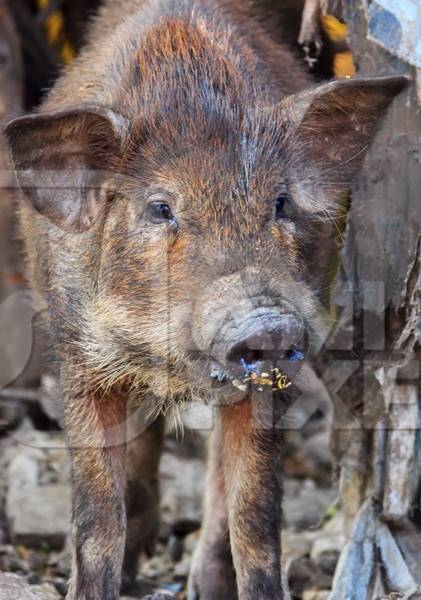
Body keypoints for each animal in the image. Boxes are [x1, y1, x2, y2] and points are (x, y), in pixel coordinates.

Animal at [4, 1, 406, 600]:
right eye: (160, 208)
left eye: (280, 202)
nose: (266, 321)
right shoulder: (79, 358)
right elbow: (97, 514)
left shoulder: (270, 383)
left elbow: (254, 515)